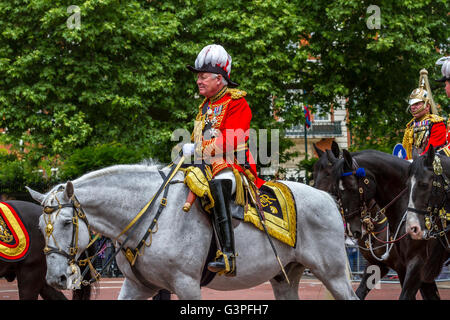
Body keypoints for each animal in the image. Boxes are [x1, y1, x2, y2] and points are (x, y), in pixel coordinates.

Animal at [27, 162, 358, 300]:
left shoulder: (187, 285)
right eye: (41, 229)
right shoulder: (138, 286)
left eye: (66, 223)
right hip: (284, 276)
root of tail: (327, 197)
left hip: (333, 274)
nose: (55, 278)